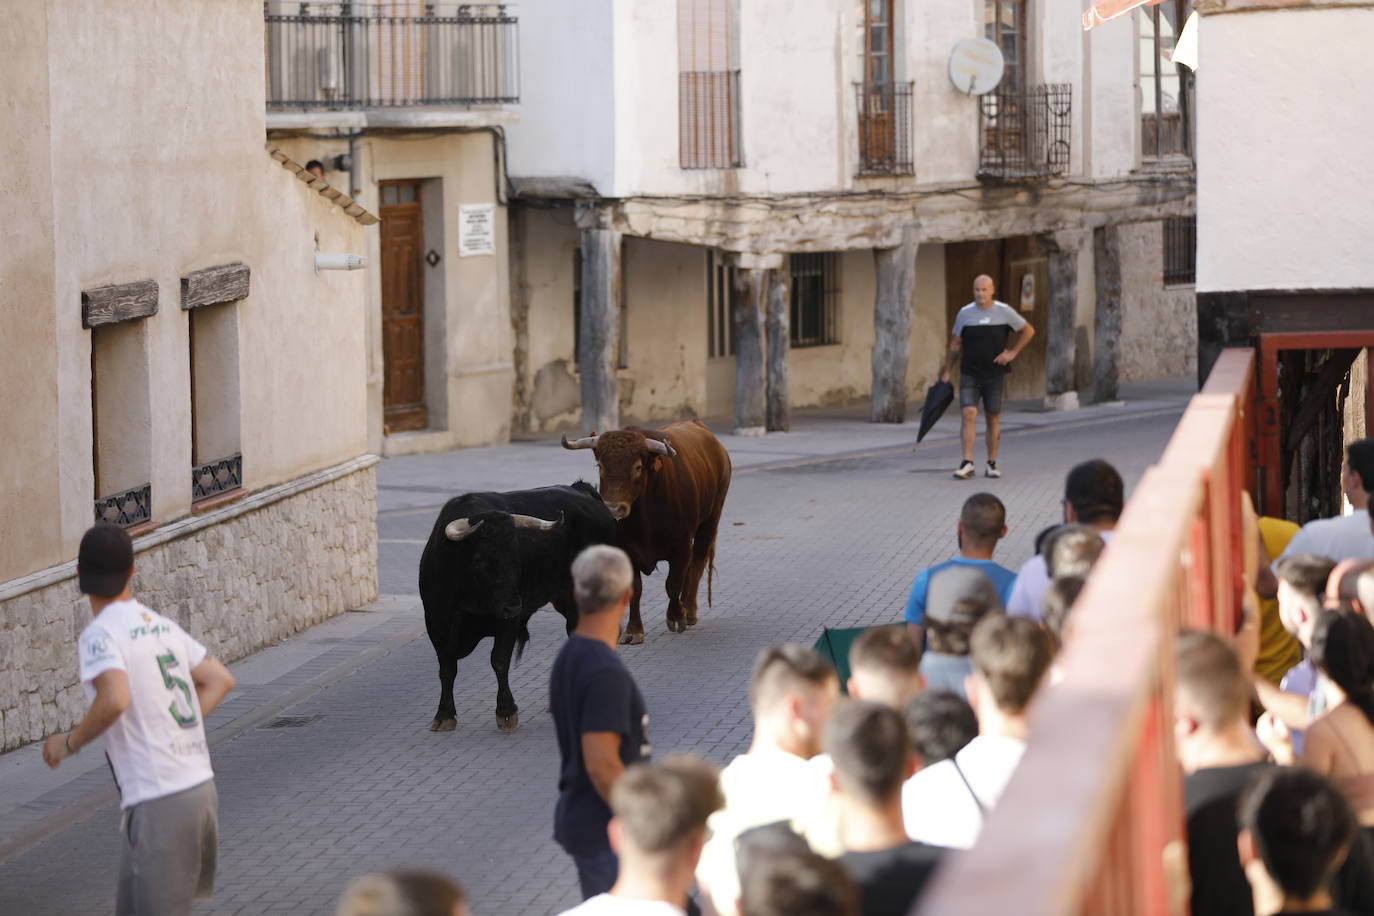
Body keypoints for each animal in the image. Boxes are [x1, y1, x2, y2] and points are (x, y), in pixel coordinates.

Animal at [414, 483, 615, 736]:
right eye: (479, 560)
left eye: (515, 558)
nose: (513, 605)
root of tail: (582, 491)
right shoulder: (435, 624)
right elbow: (447, 669)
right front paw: (444, 715)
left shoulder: (508, 623)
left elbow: (499, 661)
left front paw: (506, 712)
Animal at [560, 417, 730, 642]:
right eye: (600, 465)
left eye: (638, 467)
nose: (614, 508)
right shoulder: (625, 548)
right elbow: (636, 588)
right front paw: (633, 630)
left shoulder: (682, 545)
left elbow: (673, 583)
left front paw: (676, 617)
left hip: (710, 520)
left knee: (697, 563)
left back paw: (690, 611)